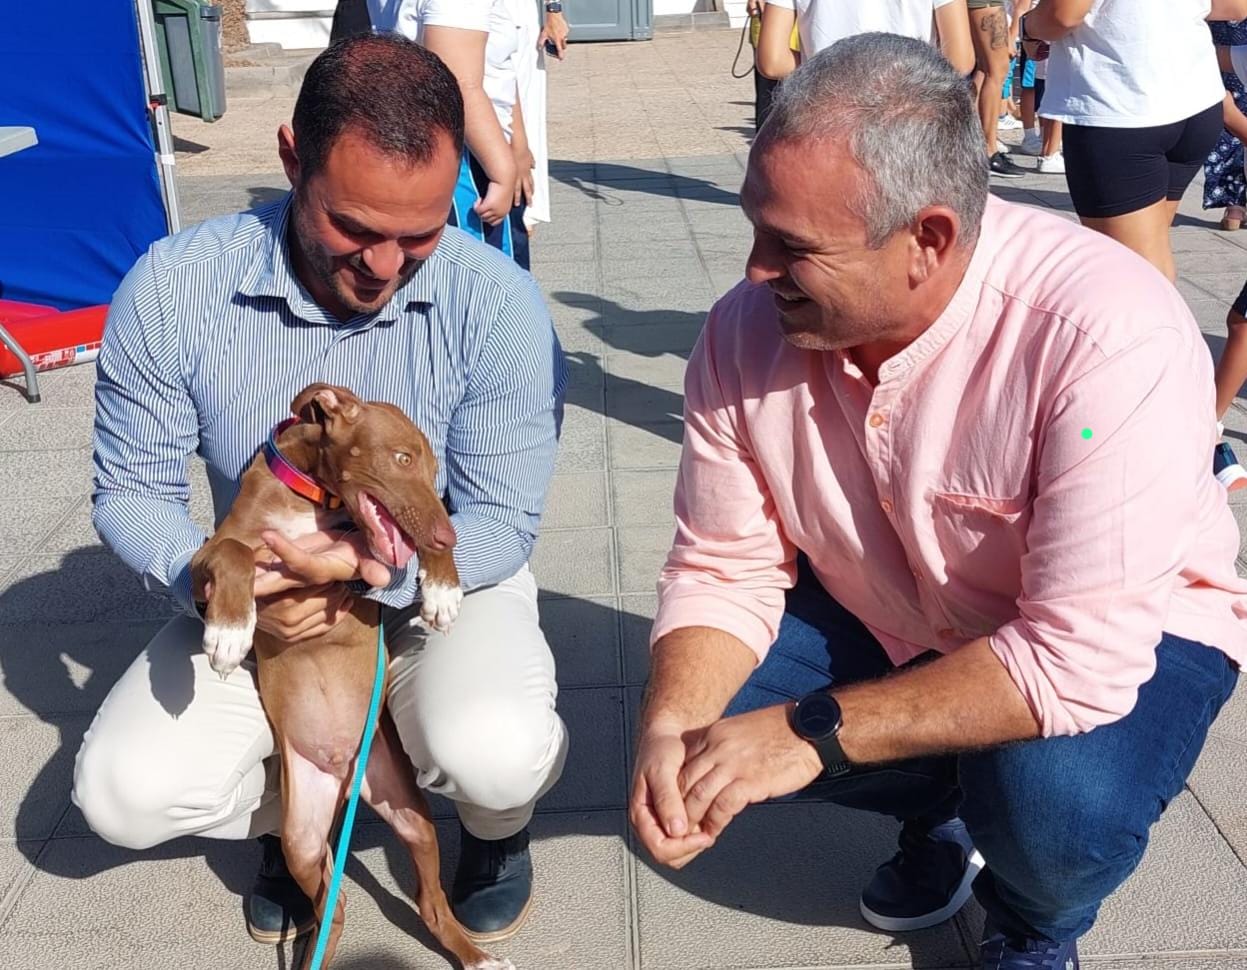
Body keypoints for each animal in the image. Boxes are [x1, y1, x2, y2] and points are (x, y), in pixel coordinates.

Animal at [190, 381, 511, 967]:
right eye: (402, 459)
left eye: (434, 469)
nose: (447, 536)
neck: (312, 501)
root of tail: (345, 777)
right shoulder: (206, 556)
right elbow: (235, 552)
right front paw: (229, 629)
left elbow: (405, 552)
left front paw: (442, 588)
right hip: (300, 839)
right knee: (330, 905)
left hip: (411, 813)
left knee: (427, 904)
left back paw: (475, 955)